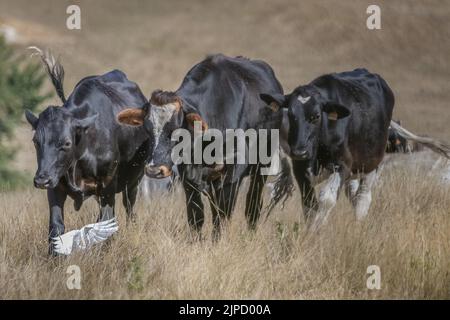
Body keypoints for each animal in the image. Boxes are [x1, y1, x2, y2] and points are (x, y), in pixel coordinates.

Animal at [24, 48, 150, 255]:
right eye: (36, 141)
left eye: (66, 143)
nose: (41, 180)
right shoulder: (55, 186)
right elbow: (56, 225)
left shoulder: (108, 186)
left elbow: (106, 221)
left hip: (133, 182)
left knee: (128, 208)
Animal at [260, 67, 450, 229]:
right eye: (291, 115)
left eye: (316, 116)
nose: (300, 151)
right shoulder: (300, 168)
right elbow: (309, 205)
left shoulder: (342, 165)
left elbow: (327, 199)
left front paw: (315, 233)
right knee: (352, 194)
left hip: (372, 164)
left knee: (362, 198)